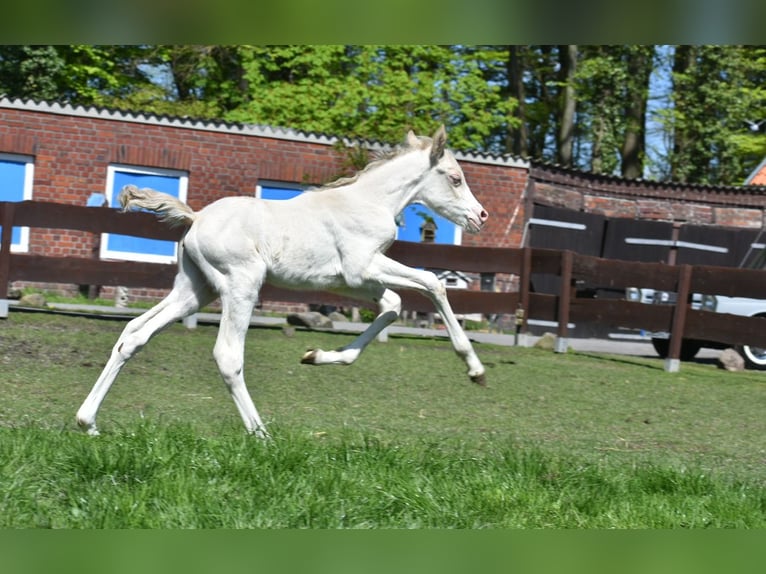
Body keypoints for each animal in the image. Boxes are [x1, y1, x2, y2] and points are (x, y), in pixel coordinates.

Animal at [75, 127, 488, 440]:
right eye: (455, 178)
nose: (480, 216)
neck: (369, 201)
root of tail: (196, 218)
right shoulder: (363, 266)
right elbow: (432, 283)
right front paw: (474, 368)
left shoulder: (350, 281)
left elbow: (393, 305)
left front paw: (319, 356)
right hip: (241, 285)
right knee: (227, 356)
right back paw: (262, 436)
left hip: (194, 291)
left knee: (134, 334)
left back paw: (87, 421)